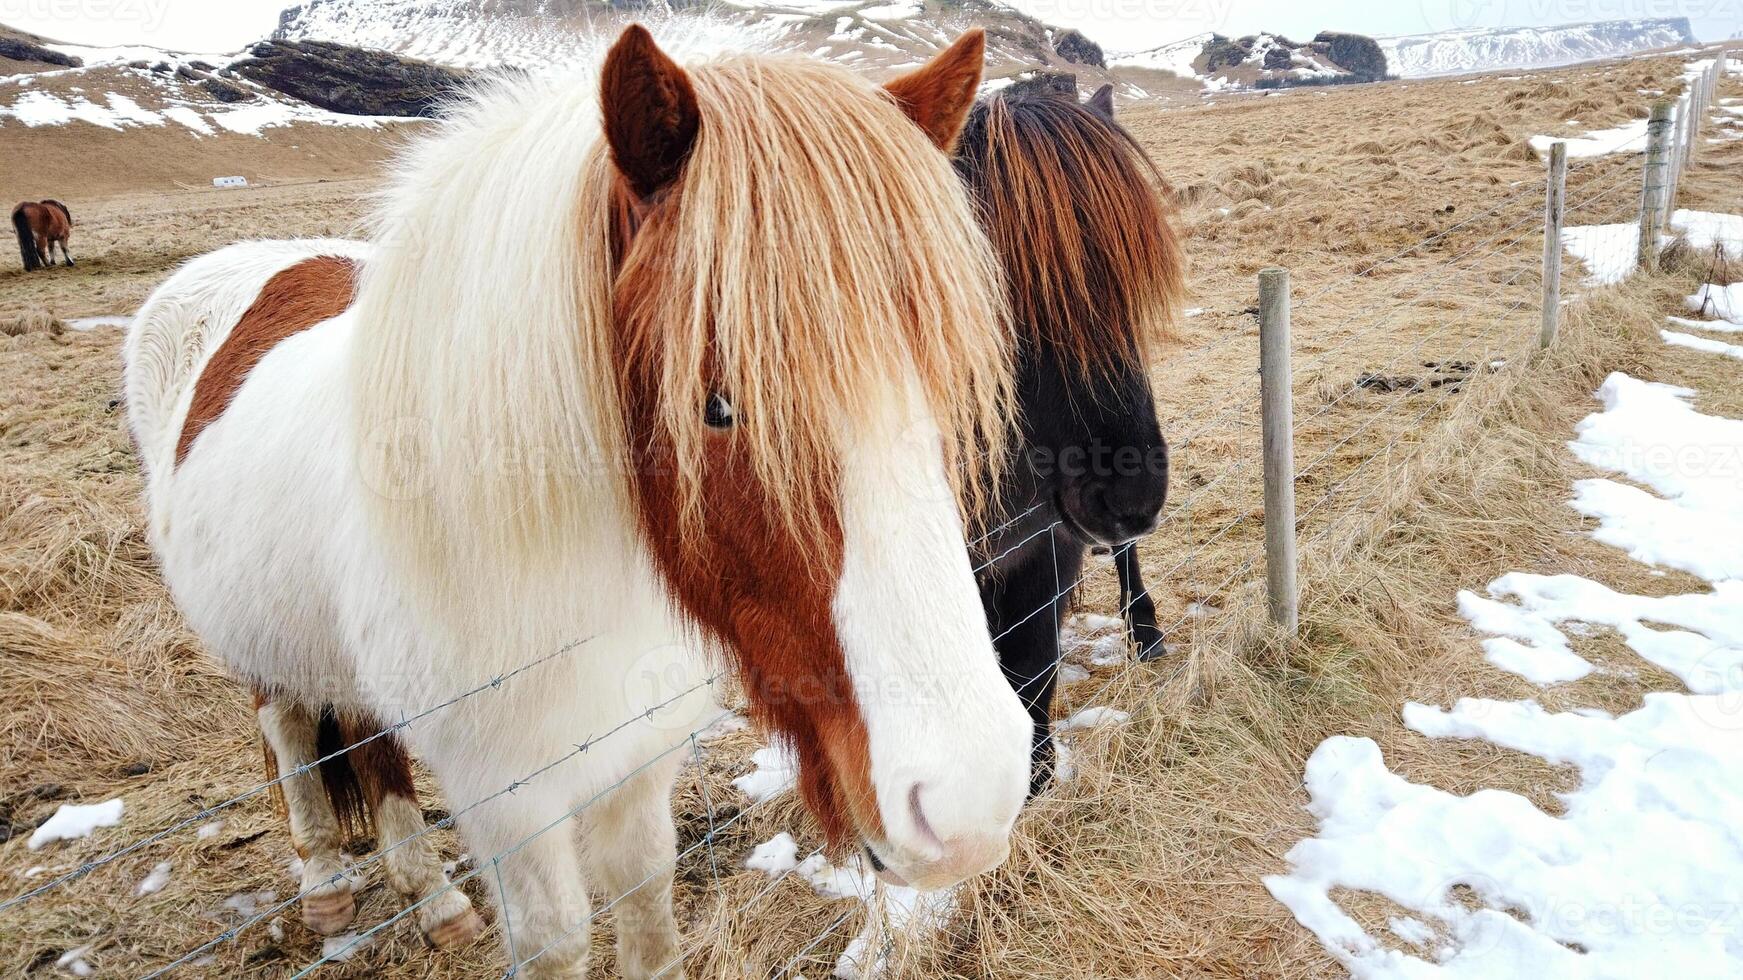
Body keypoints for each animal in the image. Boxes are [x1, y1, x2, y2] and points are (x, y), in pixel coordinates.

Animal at [128, 26, 1031, 969]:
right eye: (715, 405)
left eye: (941, 381)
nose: (970, 800)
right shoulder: (505, 799)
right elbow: (556, 935)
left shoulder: (641, 756)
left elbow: (644, 896)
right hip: (261, 649)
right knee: (290, 734)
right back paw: (327, 885)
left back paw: (433, 899)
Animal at [955, 80, 1185, 788]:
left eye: (1133, 287)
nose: (1133, 499)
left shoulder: (1045, 543)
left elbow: (1030, 668)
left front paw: (1033, 783)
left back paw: (1145, 629)